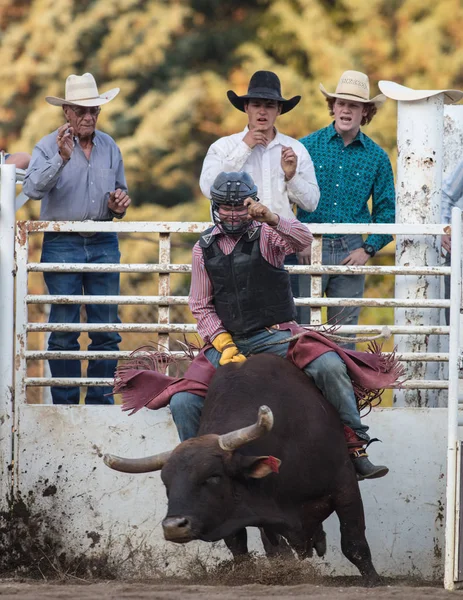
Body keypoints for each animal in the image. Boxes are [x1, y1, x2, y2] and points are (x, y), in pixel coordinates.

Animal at [104, 354, 380, 584]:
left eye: (213, 476)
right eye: (166, 483)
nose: (173, 526)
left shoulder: (345, 486)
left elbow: (354, 544)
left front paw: (373, 580)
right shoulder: (252, 510)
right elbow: (255, 547)